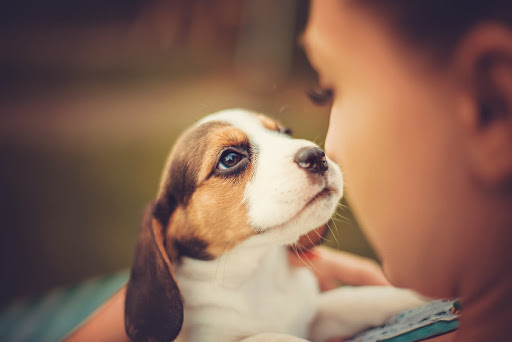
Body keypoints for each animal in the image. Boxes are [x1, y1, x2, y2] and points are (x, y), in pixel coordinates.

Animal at [124, 108, 424, 340]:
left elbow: (353, 301)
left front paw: (413, 298)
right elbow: (276, 337)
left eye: (285, 133)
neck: (255, 272)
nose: (317, 155)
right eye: (229, 159)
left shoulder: (313, 316)